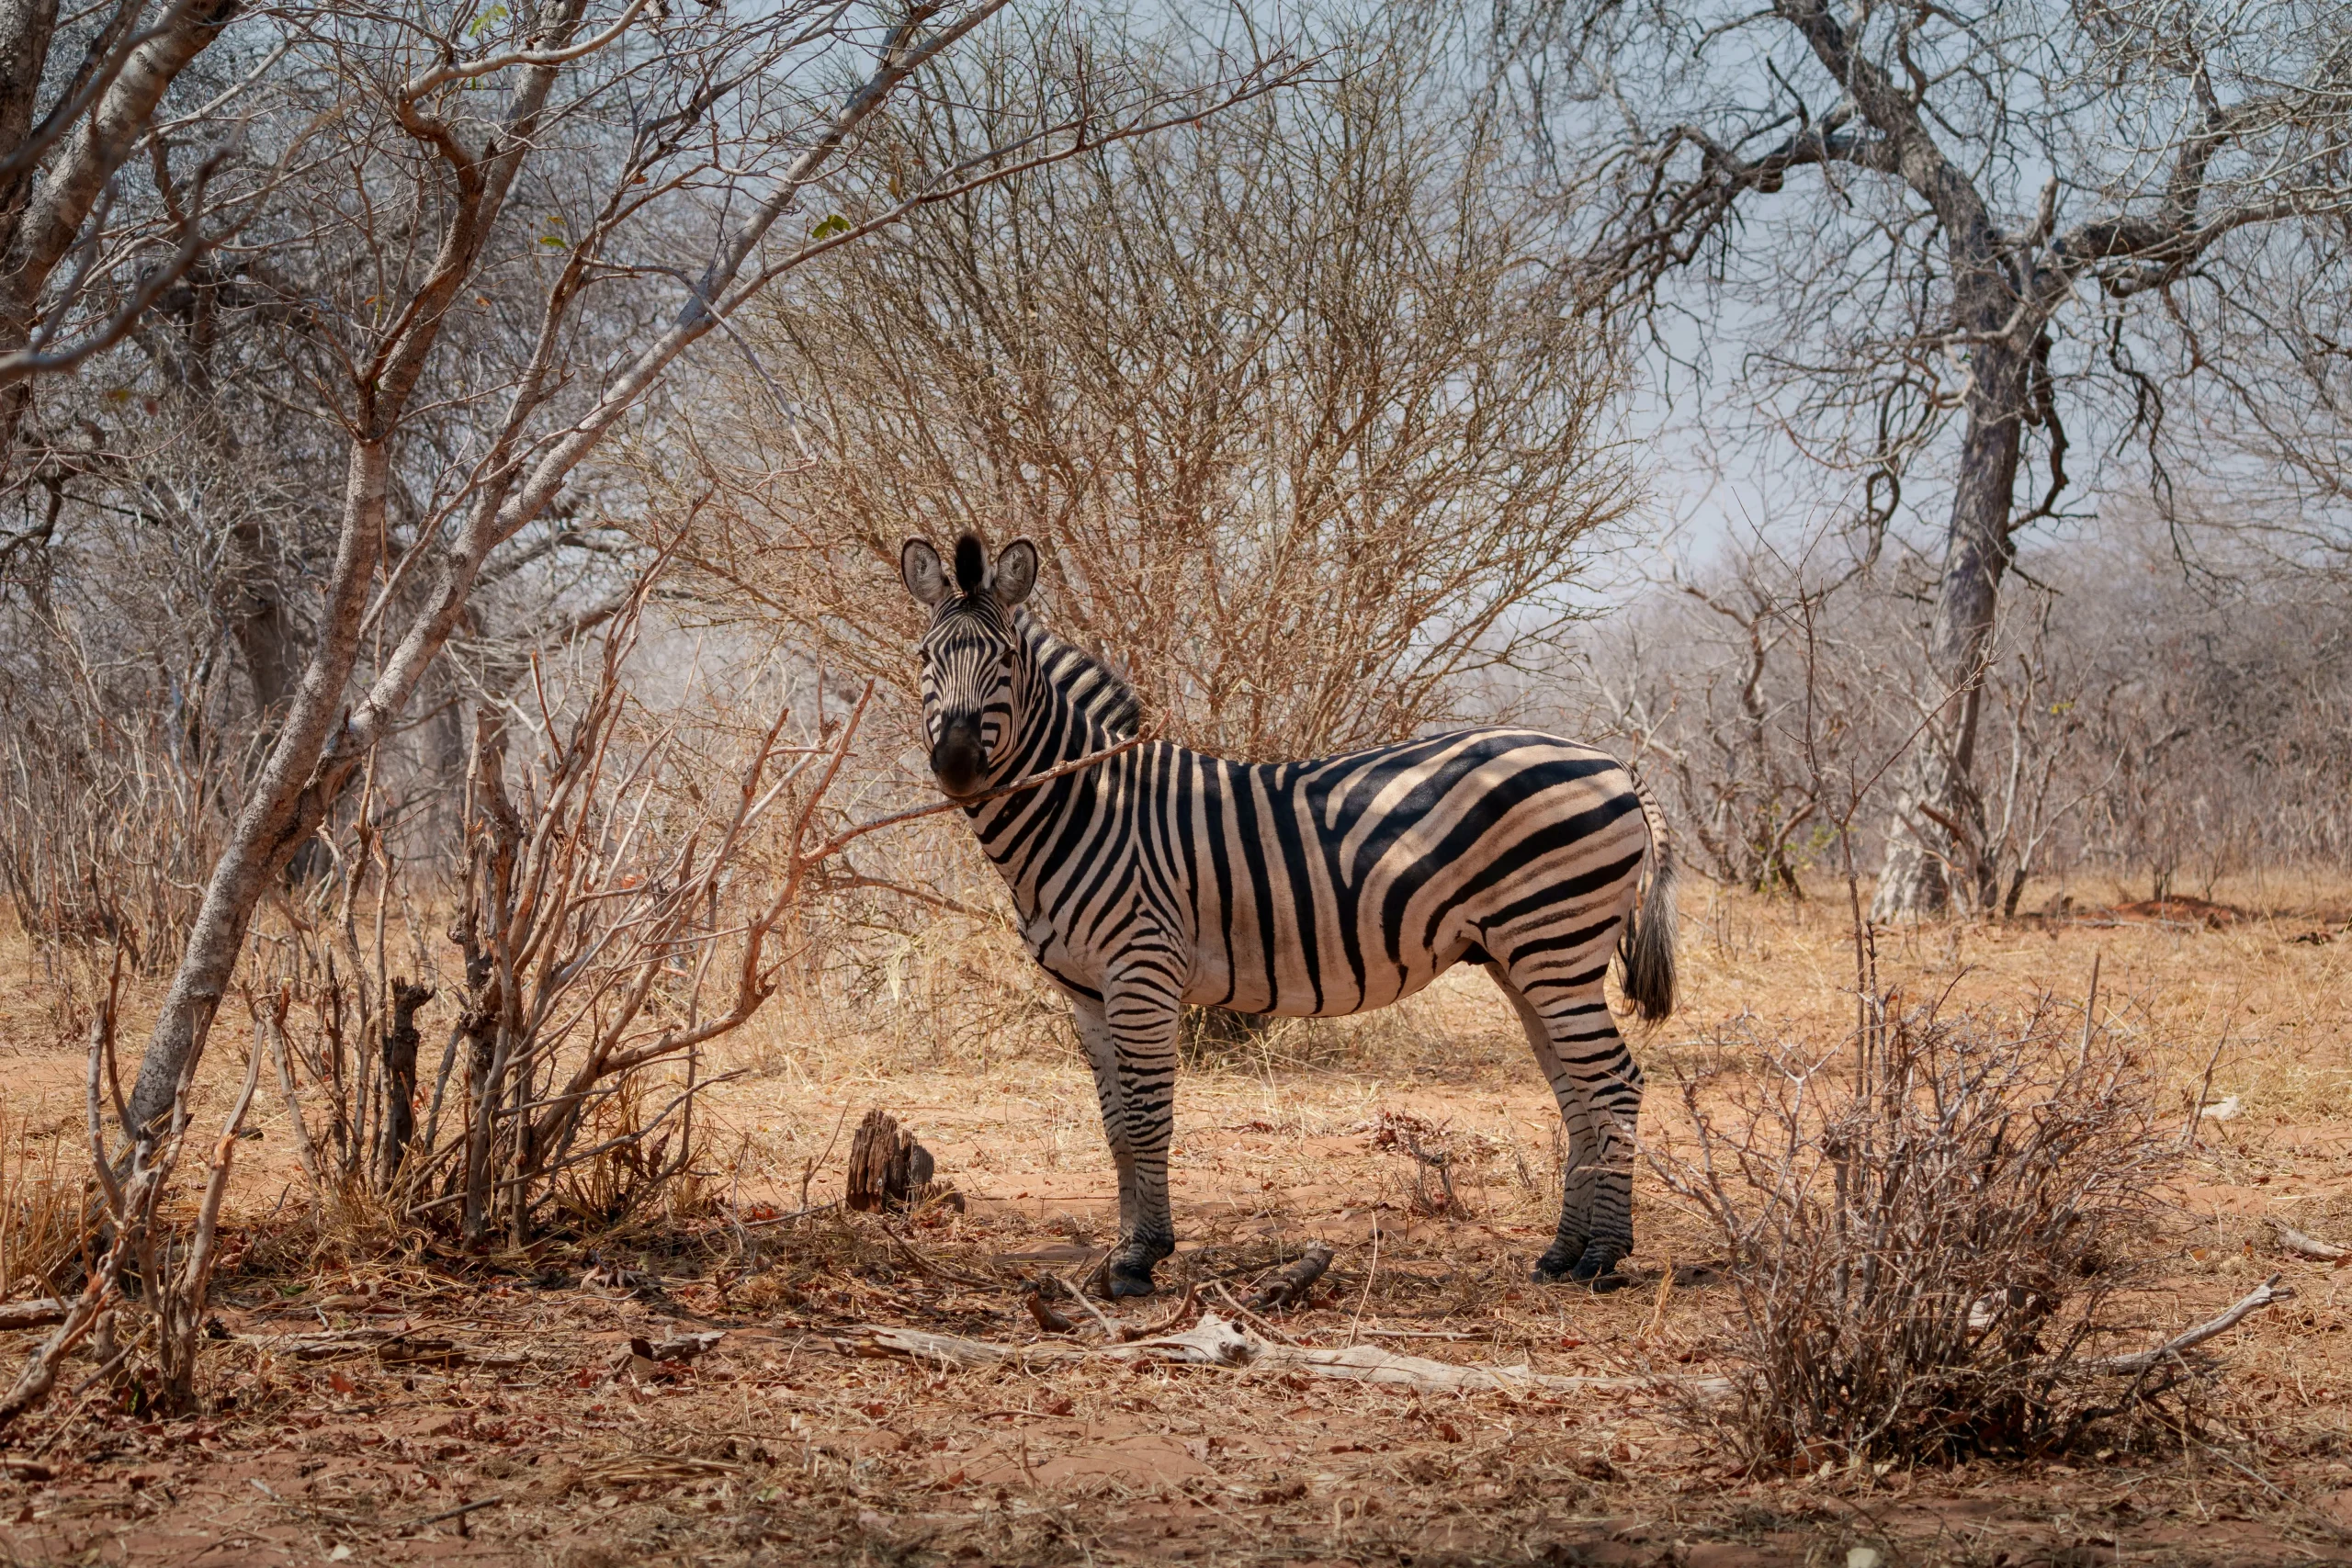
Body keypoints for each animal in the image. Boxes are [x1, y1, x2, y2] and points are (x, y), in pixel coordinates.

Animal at [900, 533, 1676, 1297]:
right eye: (925, 658)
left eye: (1005, 659)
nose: (957, 765)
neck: (1086, 809)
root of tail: (1612, 762)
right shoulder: (1085, 990)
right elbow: (1116, 1124)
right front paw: (1121, 1250)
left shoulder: (1142, 968)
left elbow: (1149, 1118)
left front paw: (1141, 1256)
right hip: (1524, 959)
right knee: (1577, 1093)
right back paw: (1561, 1252)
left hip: (1557, 945)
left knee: (1616, 1084)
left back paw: (1603, 1255)